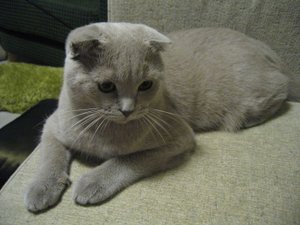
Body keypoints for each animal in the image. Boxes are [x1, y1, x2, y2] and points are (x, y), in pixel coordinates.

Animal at [24, 22, 296, 212]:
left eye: (146, 85)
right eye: (106, 87)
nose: (128, 109)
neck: (101, 132)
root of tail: (266, 48)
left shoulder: (180, 138)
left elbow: (128, 160)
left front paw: (91, 183)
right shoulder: (52, 124)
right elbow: (50, 155)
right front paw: (41, 189)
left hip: (253, 98)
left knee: (280, 94)